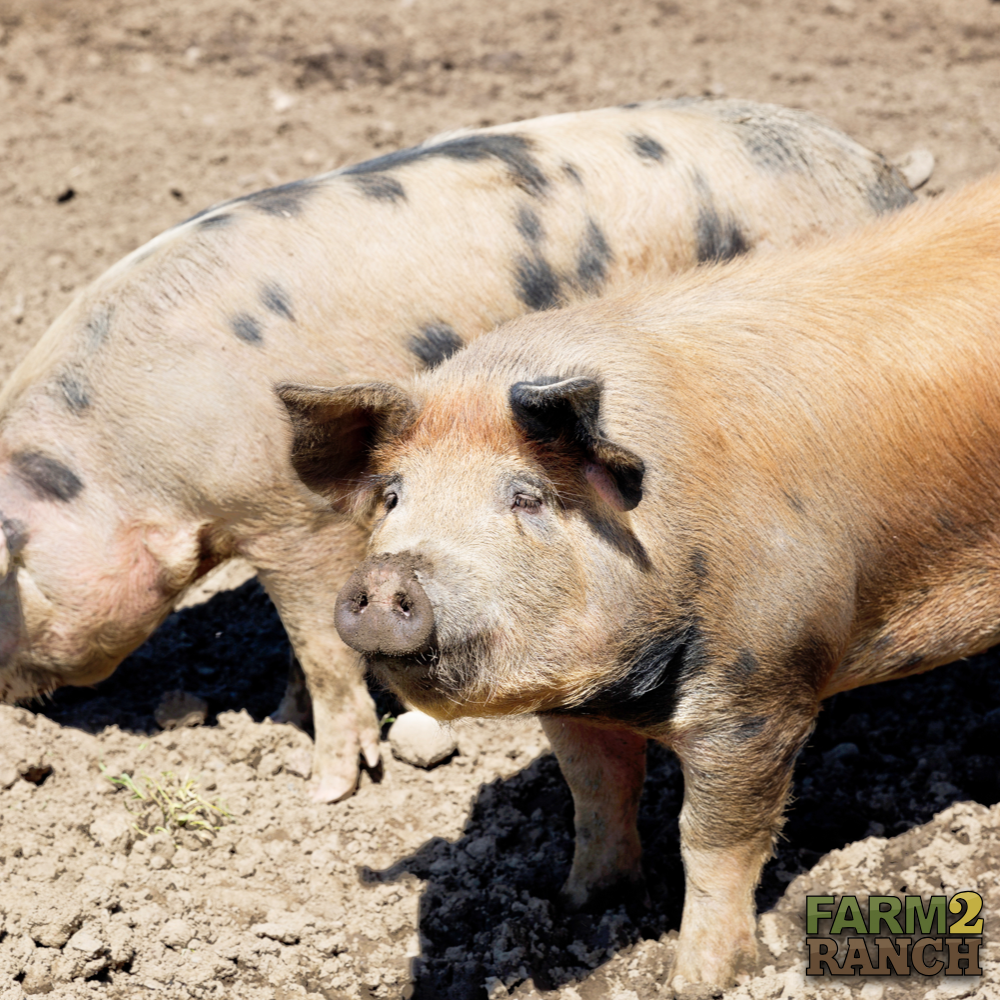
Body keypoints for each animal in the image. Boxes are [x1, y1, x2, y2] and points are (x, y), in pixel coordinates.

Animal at [0, 98, 917, 805]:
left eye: (8, 595)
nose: (13, 707)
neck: (124, 464)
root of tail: (880, 173)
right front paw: (288, 719)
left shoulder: (288, 515)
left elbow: (322, 647)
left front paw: (324, 789)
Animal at [279, 173, 1000, 991]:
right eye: (395, 496)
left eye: (527, 496)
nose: (385, 574)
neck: (630, 687)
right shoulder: (571, 704)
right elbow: (596, 795)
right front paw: (580, 904)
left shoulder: (765, 694)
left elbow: (714, 841)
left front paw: (698, 979)